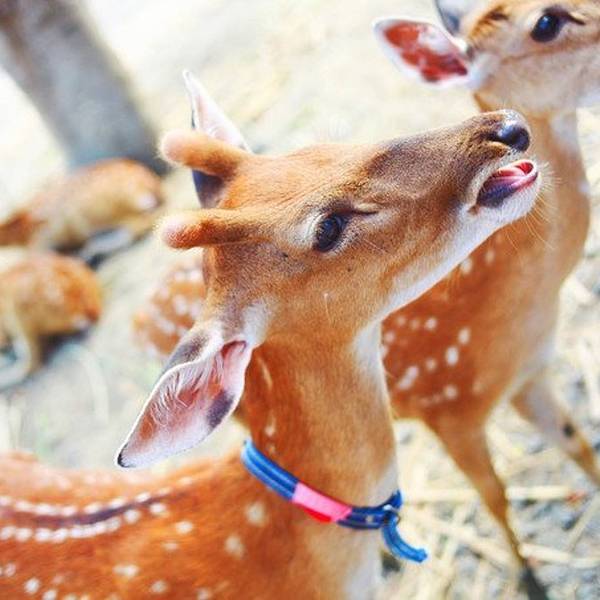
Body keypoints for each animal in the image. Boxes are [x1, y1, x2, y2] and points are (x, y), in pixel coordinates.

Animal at [134, 4, 600, 589]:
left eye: (329, 144)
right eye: (545, 24)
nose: (507, 130)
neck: (517, 304)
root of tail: (138, 315)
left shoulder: (532, 374)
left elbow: (578, 443)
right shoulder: (448, 405)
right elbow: (494, 495)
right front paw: (529, 579)